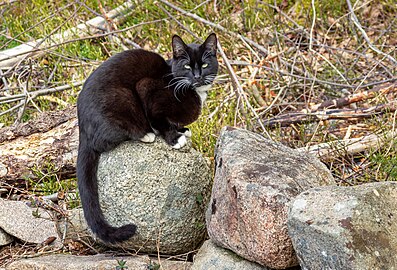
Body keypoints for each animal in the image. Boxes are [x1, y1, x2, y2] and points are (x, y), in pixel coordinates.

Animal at [76, 32, 218, 244]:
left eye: (205, 64)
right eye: (186, 66)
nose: (197, 76)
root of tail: (81, 129)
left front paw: (182, 130)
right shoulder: (148, 89)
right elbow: (159, 120)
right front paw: (175, 138)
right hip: (124, 99)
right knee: (106, 141)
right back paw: (146, 134)